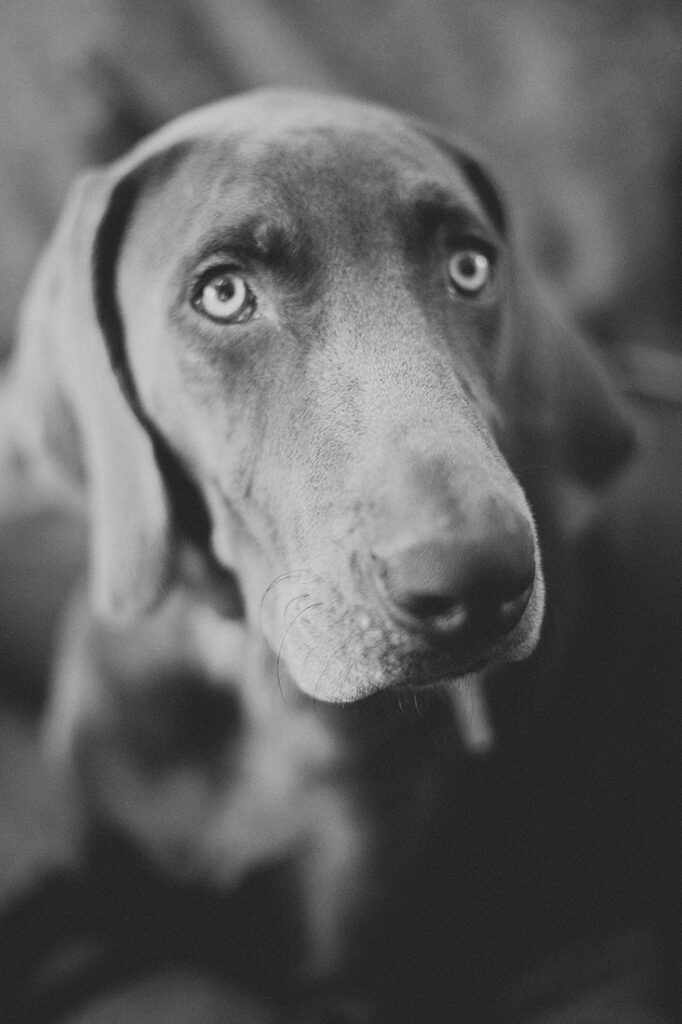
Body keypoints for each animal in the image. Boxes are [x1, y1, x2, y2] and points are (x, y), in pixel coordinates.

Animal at [2, 92, 634, 1019]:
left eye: (470, 267)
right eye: (224, 291)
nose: (481, 579)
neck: (241, 670)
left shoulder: (354, 970)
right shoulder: (102, 874)